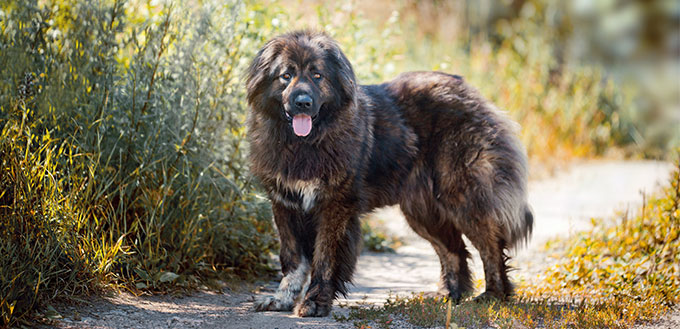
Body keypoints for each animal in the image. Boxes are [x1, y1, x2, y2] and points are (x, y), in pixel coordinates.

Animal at [244, 30, 532, 316]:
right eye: (286, 75)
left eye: (317, 75)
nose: (303, 102)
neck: (304, 143)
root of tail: (470, 91)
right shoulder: (284, 203)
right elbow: (292, 258)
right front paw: (281, 299)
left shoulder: (334, 206)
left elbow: (324, 258)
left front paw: (315, 302)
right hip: (422, 211)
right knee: (454, 250)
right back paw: (450, 296)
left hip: (461, 196)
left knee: (490, 245)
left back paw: (493, 295)